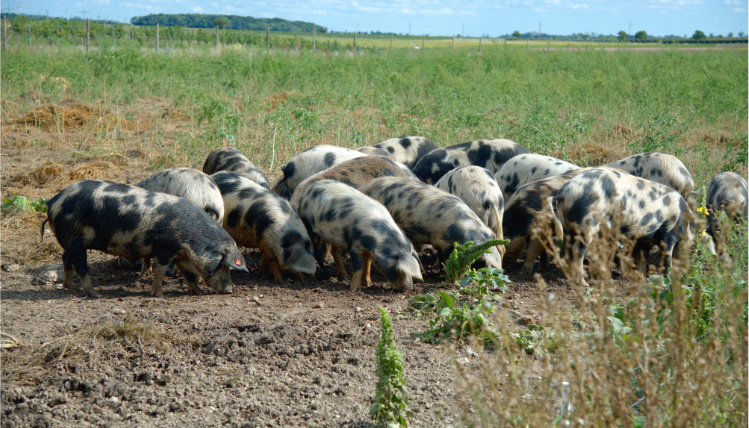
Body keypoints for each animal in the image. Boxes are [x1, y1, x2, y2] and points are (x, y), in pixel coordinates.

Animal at [41, 180, 248, 298]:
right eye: (224, 264)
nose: (229, 291)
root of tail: (53, 201)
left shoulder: (182, 255)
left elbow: (189, 275)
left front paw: (198, 293)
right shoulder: (164, 248)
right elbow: (159, 271)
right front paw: (159, 295)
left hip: (70, 241)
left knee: (66, 258)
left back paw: (70, 288)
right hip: (73, 238)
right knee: (80, 265)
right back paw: (94, 294)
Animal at [296, 177, 424, 290]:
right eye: (400, 269)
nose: (409, 288)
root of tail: (310, 189)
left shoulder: (369, 250)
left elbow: (367, 266)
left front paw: (369, 284)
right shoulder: (355, 245)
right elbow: (359, 268)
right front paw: (354, 290)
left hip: (335, 235)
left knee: (335, 252)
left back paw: (345, 277)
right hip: (308, 225)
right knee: (317, 251)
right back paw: (326, 275)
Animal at [358, 176, 500, 270]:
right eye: (484, 261)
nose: (499, 268)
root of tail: (362, 188)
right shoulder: (441, 239)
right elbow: (444, 255)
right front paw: (442, 269)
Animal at [552, 167, 692, 284]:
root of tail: (564, 192)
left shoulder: (645, 239)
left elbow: (642, 259)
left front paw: (642, 279)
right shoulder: (668, 234)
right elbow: (667, 258)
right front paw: (670, 278)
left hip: (568, 227)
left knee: (567, 249)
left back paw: (570, 277)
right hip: (587, 224)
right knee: (577, 251)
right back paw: (584, 284)